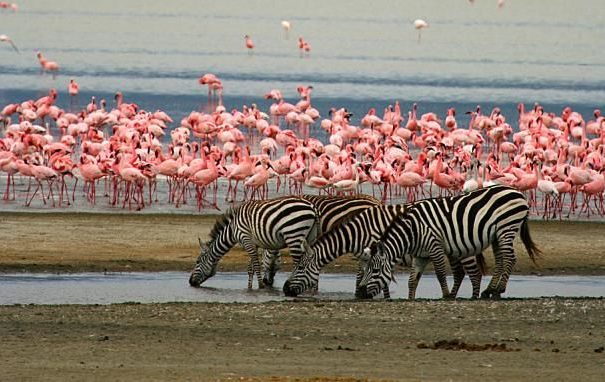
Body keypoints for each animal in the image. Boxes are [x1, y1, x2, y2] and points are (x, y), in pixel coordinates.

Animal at [189, 195, 320, 288]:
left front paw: (260, 285)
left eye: (197, 261)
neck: (232, 229)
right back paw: (312, 288)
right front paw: (249, 287)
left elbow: (256, 265)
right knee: (311, 260)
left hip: (293, 235)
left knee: (298, 262)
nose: (190, 282)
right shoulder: (253, 243)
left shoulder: (246, 239)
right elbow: (250, 267)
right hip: (309, 237)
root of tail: (312, 207)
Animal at [280, 203, 408, 298]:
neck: (358, 234)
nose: (285, 290)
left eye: (300, 268)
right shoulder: (364, 257)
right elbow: (361, 277)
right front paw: (358, 294)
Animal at [354, 184, 536, 300]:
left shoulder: (435, 247)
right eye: (366, 268)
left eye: (375, 270)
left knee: (510, 259)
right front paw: (411, 299)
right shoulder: (420, 255)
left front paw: (447, 295)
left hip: (507, 228)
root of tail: (517, 191)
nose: (361, 294)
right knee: (500, 260)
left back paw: (498, 290)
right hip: (497, 235)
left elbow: (441, 274)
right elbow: (413, 280)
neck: (413, 231)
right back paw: (489, 290)